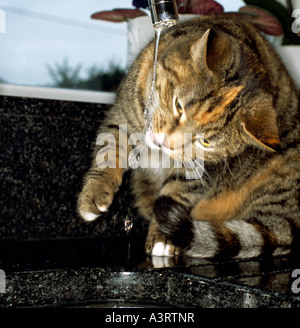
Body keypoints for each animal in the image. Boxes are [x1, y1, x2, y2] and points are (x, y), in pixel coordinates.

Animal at [78, 16, 300, 258]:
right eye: (178, 106)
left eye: (205, 141)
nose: (166, 143)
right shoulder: (123, 119)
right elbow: (109, 155)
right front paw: (93, 197)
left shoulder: (200, 170)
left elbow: (177, 194)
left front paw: (163, 238)